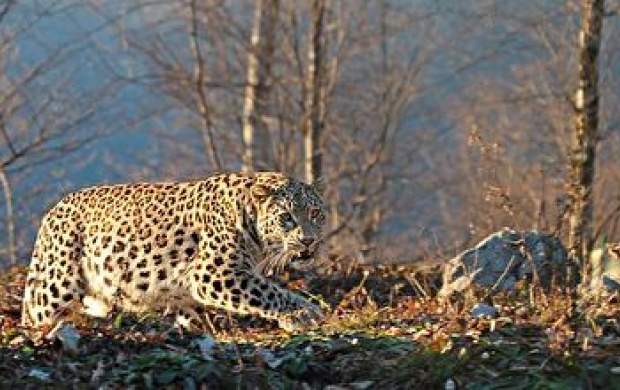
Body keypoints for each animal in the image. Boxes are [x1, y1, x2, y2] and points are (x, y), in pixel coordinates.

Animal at [21, 171, 326, 332]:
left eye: (315, 213)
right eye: (287, 218)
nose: (309, 241)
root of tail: (53, 211)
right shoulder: (214, 273)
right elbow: (269, 292)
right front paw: (306, 314)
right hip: (55, 285)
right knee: (36, 313)